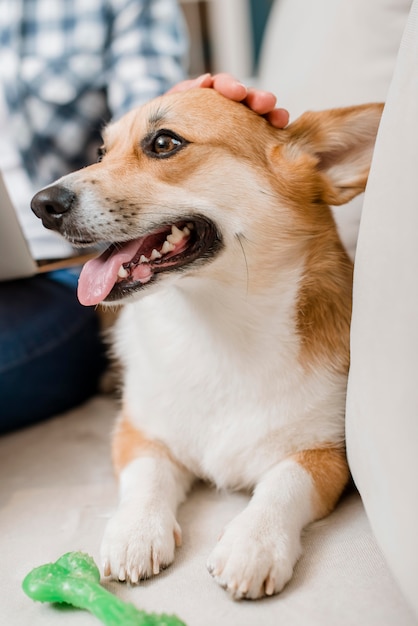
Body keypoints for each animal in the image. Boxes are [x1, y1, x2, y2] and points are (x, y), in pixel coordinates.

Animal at [31, 90, 384, 596]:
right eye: (101, 152)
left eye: (164, 143)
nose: (41, 204)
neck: (217, 326)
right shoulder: (138, 434)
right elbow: (146, 477)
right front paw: (135, 531)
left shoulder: (327, 456)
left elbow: (284, 484)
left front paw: (254, 542)